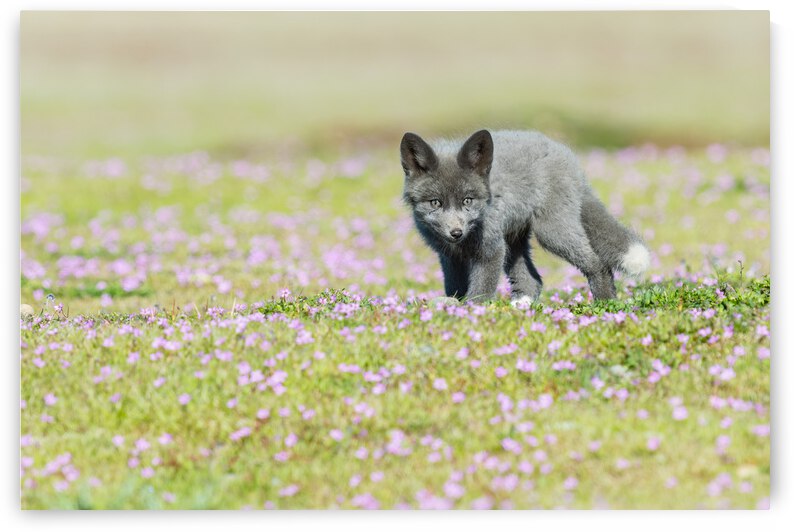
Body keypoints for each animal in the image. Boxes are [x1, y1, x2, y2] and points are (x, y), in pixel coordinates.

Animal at [399, 129, 650, 304]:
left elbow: (481, 290)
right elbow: (455, 287)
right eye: (436, 203)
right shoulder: (450, 256)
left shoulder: (491, 249)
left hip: (551, 233)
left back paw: (606, 305)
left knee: (597, 263)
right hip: (515, 242)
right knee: (533, 281)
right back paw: (521, 305)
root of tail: (568, 158)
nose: (455, 232)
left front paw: (472, 312)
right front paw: (453, 306)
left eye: (467, 201)